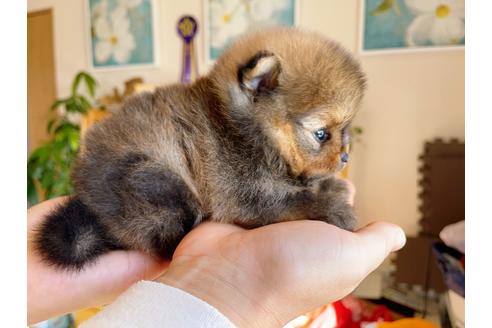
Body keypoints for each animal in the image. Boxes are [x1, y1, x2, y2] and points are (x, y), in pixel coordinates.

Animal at [35, 27, 366, 270]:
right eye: (321, 134)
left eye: (345, 131)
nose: (345, 156)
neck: (246, 130)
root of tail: (89, 200)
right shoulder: (246, 196)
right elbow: (293, 202)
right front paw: (332, 206)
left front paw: (331, 187)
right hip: (158, 180)